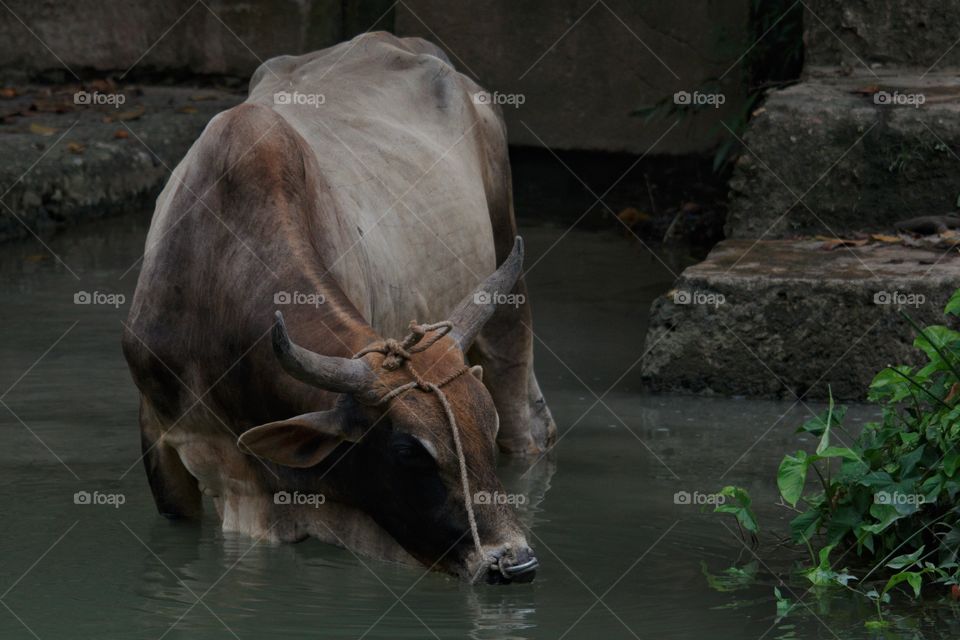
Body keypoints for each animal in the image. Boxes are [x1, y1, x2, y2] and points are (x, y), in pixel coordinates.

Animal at [122, 32, 556, 584]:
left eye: (486, 424)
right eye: (410, 452)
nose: (515, 562)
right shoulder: (162, 446)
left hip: (510, 298)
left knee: (531, 421)